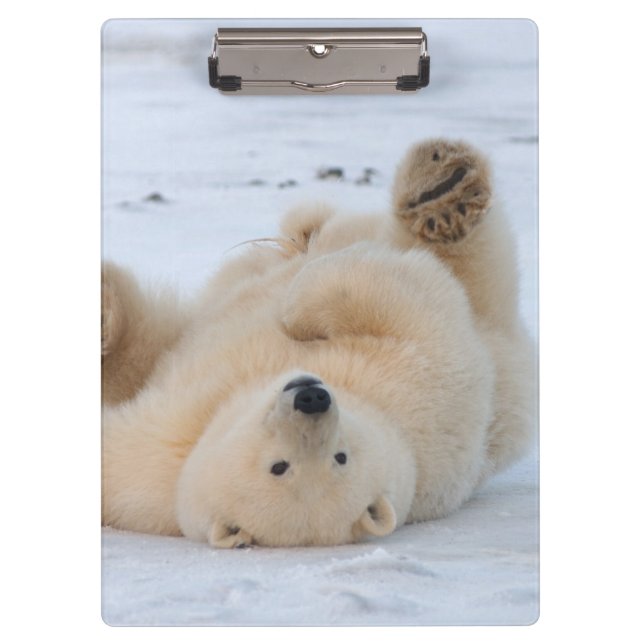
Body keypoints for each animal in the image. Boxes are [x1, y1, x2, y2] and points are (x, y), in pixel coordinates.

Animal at [101, 139, 536, 548]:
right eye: (279, 466)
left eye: (339, 458)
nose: (311, 398)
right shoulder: (149, 461)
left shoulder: (418, 384)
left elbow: (402, 301)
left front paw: (297, 313)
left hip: (497, 336)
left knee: (468, 260)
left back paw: (443, 194)